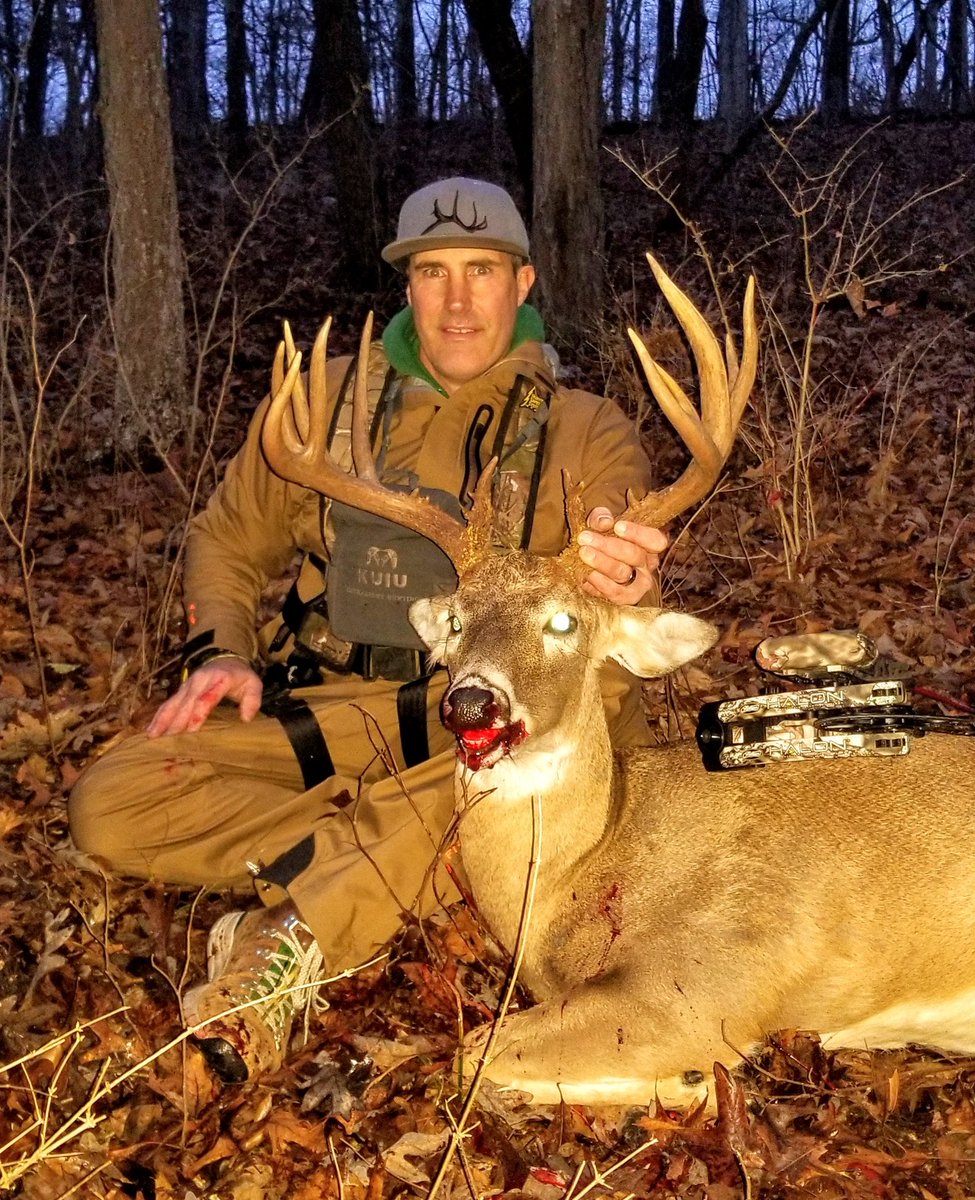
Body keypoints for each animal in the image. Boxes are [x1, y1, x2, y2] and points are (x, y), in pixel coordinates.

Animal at [261, 256, 975, 1109]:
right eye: (457, 621)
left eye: (564, 621)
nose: (471, 701)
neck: (582, 866)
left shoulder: (709, 974)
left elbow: (472, 1054)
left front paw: (686, 1083)